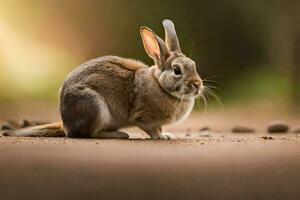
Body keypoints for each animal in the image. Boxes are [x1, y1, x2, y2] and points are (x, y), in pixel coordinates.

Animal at [1, 19, 203, 140]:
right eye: (177, 70)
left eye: (194, 65)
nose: (197, 85)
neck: (161, 85)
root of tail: (66, 124)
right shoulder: (144, 118)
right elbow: (153, 130)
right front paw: (162, 137)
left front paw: (167, 135)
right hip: (94, 106)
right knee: (91, 134)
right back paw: (120, 134)